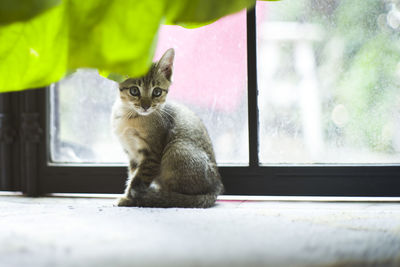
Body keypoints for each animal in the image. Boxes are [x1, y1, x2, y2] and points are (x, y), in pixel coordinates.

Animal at [112, 48, 223, 208]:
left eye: (157, 92)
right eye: (134, 91)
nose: (146, 106)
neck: (130, 117)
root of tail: (215, 188)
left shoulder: (152, 154)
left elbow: (137, 180)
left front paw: (128, 198)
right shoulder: (132, 155)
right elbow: (133, 175)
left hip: (176, 148)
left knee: (178, 196)